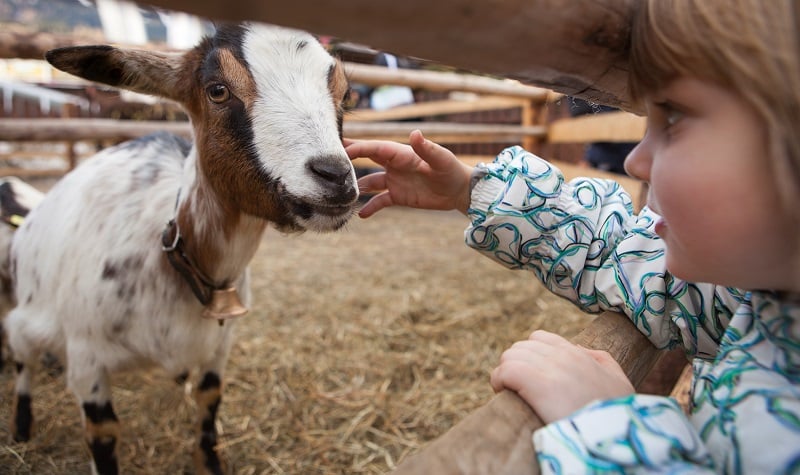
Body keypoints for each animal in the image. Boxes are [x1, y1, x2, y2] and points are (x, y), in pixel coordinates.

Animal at [3, 23, 360, 475]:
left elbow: (209, 401)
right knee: (23, 360)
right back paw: (21, 426)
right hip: (28, 317)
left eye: (345, 94)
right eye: (217, 90)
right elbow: (103, 434)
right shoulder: (87, 361)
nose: (335, 176)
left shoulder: (219, 346)